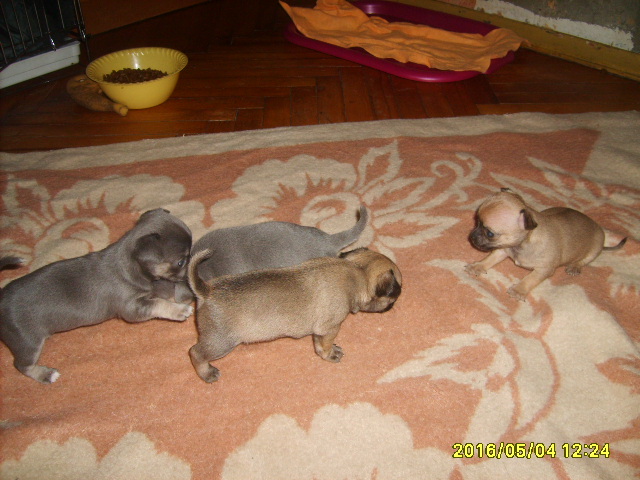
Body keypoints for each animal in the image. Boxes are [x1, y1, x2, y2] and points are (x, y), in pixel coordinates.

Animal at [0, 208, 194, 384]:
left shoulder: (154, 286)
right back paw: (46, 374)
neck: (132, 266)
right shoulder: (132, 308)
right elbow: (159, 304)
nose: (194, 262)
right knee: (22, 365)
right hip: (28, 342)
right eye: (180, 262)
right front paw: (180, 309)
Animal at [187, 247, 402, 383]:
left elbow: (317, 344)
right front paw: (330, 354)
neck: (357, 271)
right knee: (195, 353)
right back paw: (206, 374)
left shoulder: (319, 332)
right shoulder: (330, 328)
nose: (394, 303)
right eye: (394, 295)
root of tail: (206, 291)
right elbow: (325, 346)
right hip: (222, 343)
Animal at [465, 188, 627, 300]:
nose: (471, 236)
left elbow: (530, 279)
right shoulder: (503, 250)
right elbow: (490, 259)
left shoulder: (544, 270)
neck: (522, 243)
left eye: (490, 233)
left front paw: (519, 290)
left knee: (585, 259)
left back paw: (574, 267)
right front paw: (477, 266)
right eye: (476, 221)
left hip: (596, 246)